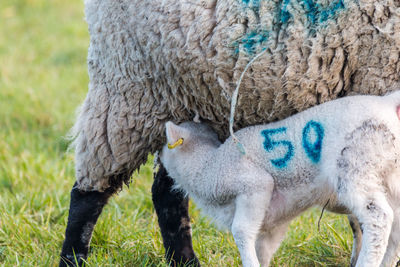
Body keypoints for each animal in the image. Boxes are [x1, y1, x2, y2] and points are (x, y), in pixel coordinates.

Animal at [160, 91, 400, 266]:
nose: (159, 156)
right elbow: (263, 248)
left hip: (356, 164)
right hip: (390, 176)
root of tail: (387, 103)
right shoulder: (274, 223)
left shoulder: (254, 185)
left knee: (379, 217)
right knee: (396, 226)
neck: (209, 165)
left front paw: (249, 263)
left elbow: (241, 231)